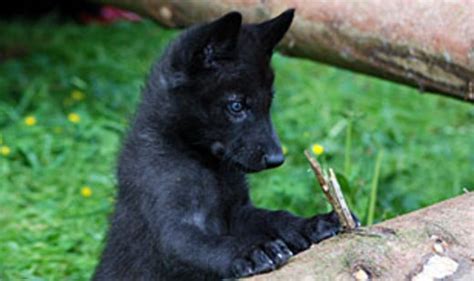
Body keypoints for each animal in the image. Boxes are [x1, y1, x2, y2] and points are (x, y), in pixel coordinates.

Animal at [94, 9, 352, 278]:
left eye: (268, 103)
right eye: (236, 106)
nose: (276, 159)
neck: (203, 161)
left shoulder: (238, 211)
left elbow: (275, 217)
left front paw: (313, 223)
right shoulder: (173, 227)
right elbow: (213, 243)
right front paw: (253, 251)